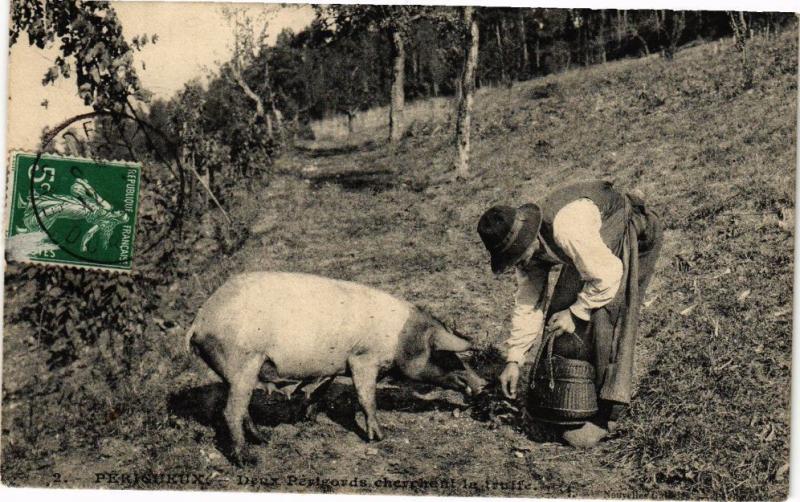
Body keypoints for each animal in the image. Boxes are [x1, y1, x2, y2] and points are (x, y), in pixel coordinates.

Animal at [186, 272, 488, 464]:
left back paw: (264, 440)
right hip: (243, 362)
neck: (401, 339)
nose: (483, 384)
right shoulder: (362, 358)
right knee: (231, 411)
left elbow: (319, 389)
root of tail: (199, 321)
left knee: (242, 408)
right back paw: (248, 460)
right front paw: (379, 438)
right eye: (446, 355)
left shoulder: (335, 366)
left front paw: (309, 416)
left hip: (234, 371)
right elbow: (366, 398)